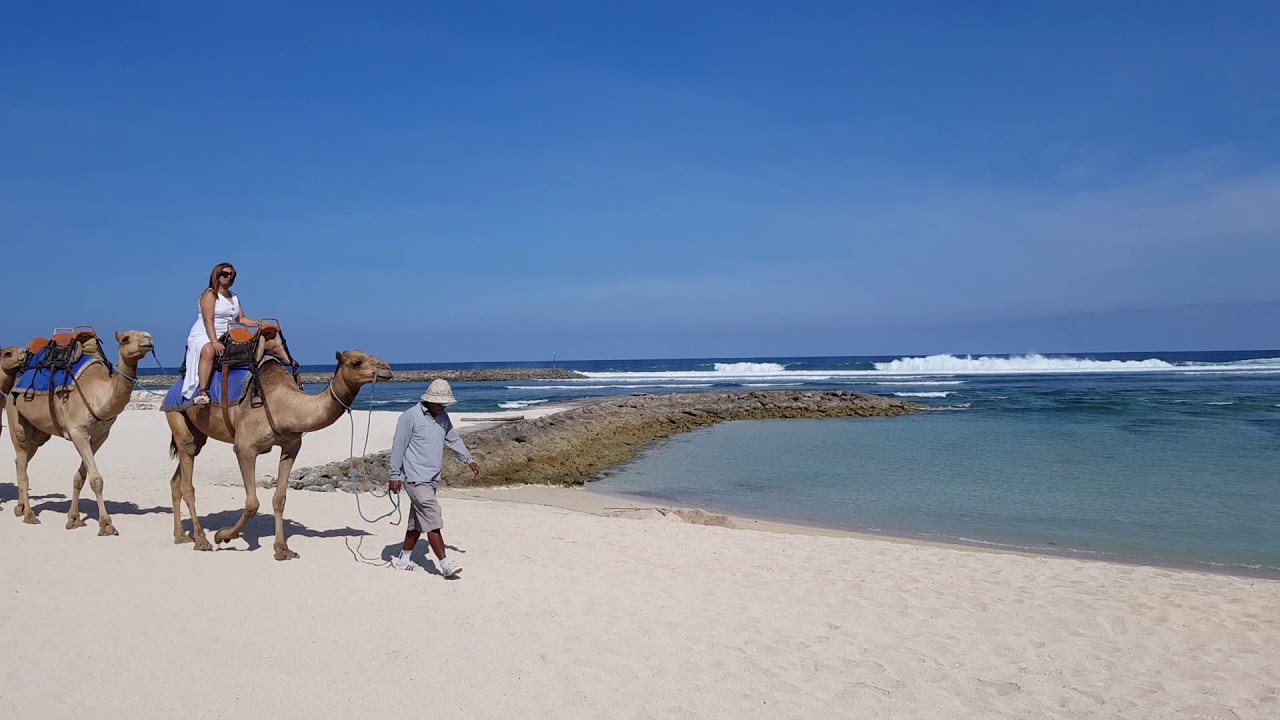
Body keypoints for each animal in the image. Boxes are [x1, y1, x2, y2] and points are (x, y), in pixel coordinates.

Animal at [5, 331, 156, 534]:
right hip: (15, 416)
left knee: (21, 461)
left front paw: (74, 519)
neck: (97, 394)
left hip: (39, 433)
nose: (148, 339)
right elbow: (96, 479)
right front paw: (106, 524)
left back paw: (20, 508)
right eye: (126, 339)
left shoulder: (100, 435)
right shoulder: (78, 432)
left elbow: (80, 476)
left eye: (145, 334)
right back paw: (29, 515)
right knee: (22, 466)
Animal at [166, 348, 392, 560]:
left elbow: (279, 498)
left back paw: (180, 536)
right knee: (187, 480)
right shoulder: (245, 448)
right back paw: (201, 540)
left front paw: (282, 550)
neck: (284, 406)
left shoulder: (291, 446)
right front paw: (223, 536)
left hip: (199, 434)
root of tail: (173, 388)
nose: (387, 369)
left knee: (177, 478)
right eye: (356, 362)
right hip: (175, 414)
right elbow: (252, 503)